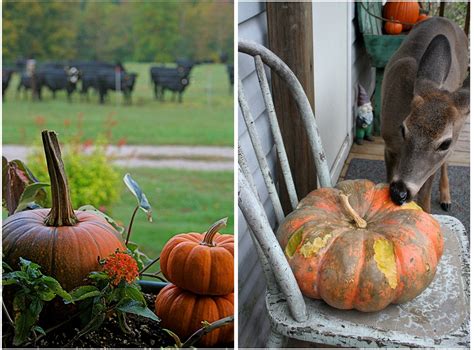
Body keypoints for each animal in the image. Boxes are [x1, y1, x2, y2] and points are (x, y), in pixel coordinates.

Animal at [380, 16, 468, 212]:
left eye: (445, 143)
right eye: (403, 129)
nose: (399, 192)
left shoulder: (434, 164)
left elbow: (425, 198)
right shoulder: (389, 145)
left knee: (446, 163)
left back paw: (446, 198)